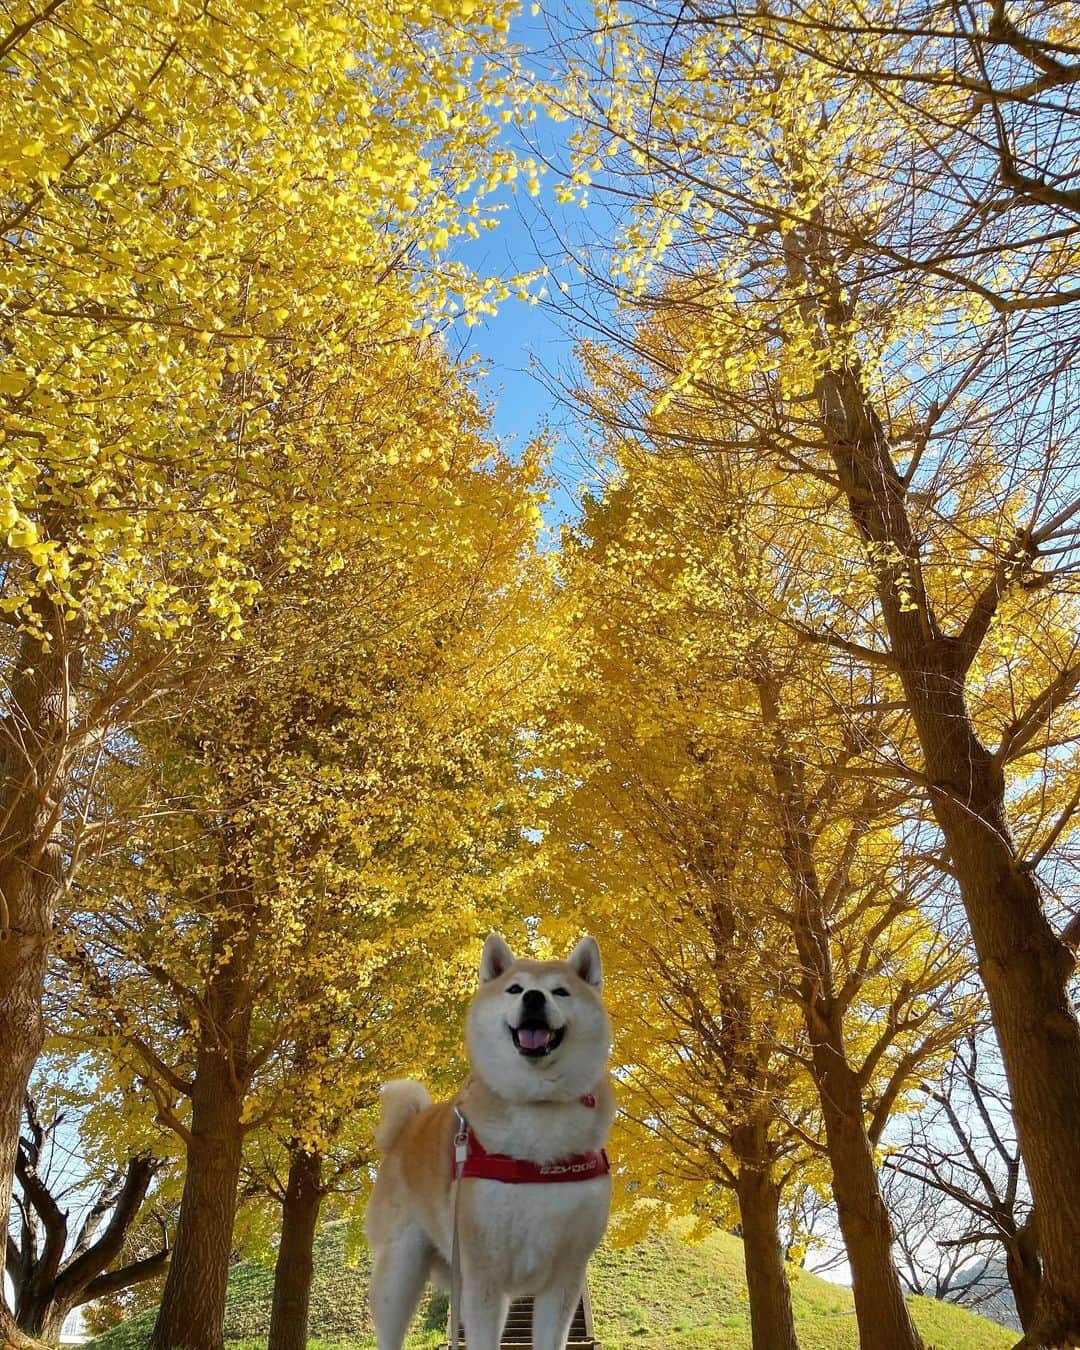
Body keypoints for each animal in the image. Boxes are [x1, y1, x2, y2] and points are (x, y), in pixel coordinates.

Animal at [364, 934, 612, 1350]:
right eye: (515, 988)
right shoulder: (484, 1275)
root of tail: (406, 1128)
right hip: (401, 1270)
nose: (533, 997)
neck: (538, 1109)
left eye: (560, 992)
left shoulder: (565, 1275)